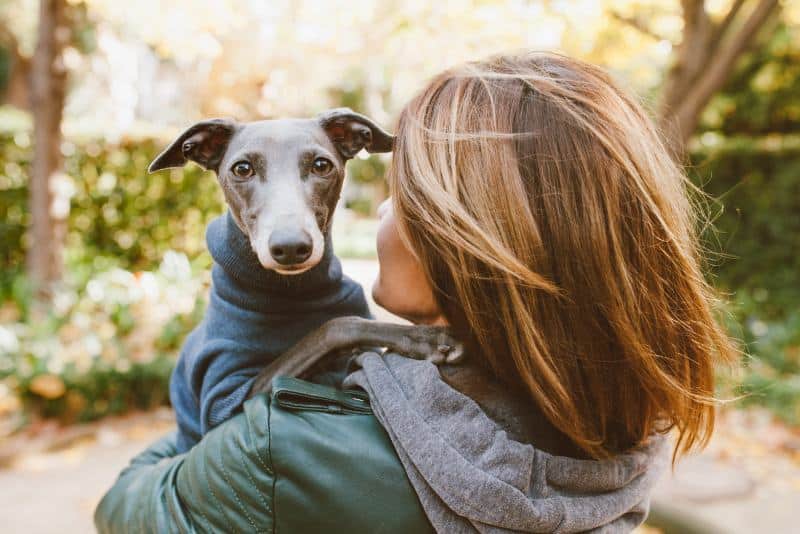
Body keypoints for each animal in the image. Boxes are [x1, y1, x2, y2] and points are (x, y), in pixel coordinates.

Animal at [150, 109, 462, 452]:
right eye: (242, 168)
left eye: (321, 165)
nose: (290, 247)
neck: (292, 291)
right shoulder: (228, 399)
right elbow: (333, 327)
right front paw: (433, 339)